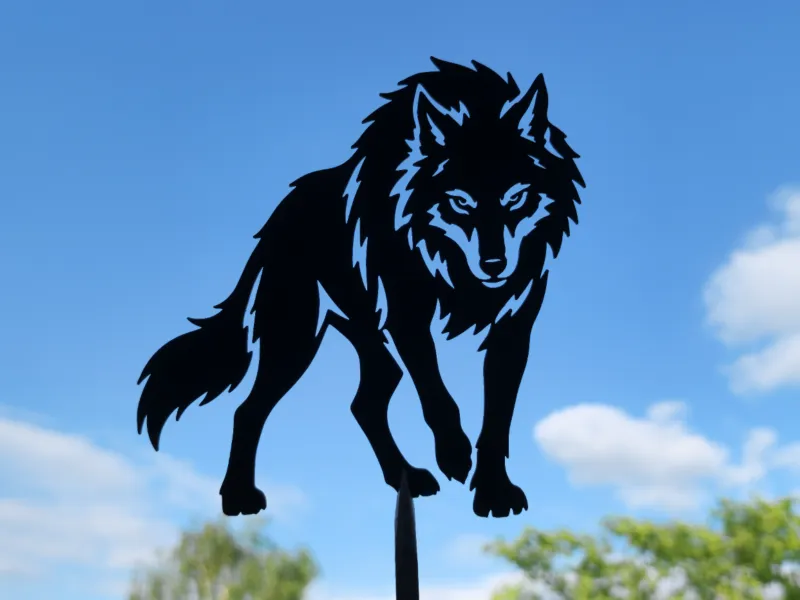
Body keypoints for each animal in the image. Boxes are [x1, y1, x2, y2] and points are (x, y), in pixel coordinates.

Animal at [137, 57, 585, 519]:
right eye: (460, 201)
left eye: (516, 197)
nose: (495, 265)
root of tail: (278, 216)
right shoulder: (408, 317)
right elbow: (440, 397)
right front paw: (454, 455)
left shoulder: (514, 326)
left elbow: (497, 419)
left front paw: (494, 492)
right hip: (296, 338)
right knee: (248, 410)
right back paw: (239, 497)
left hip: (365, 342)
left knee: (364, 403)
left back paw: (406, 477)